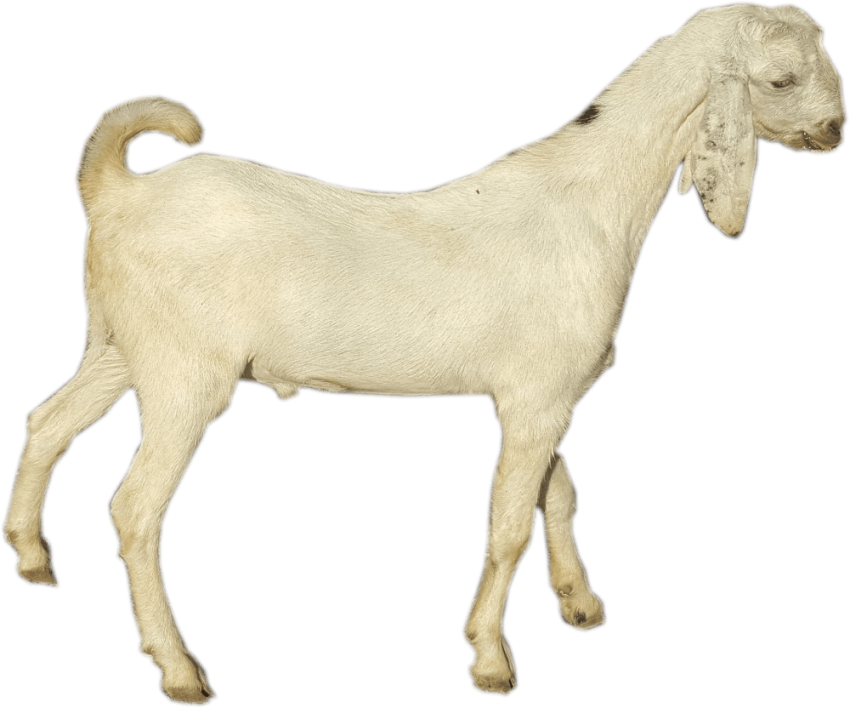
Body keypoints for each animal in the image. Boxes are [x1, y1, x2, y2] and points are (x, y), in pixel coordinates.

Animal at [3, 2, 845, 704]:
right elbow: (508, 525)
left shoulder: (542, 397)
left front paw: (580, 605)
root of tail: (117, 194)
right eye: (781, 79)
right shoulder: (535, 401)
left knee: (48, 422)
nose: (836, 132)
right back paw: (179, 670)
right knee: (136, 508)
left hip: (120, 347)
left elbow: (557, 498)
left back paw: (31, 557)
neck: (586, 204)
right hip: (185, 375)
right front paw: (490, 661)